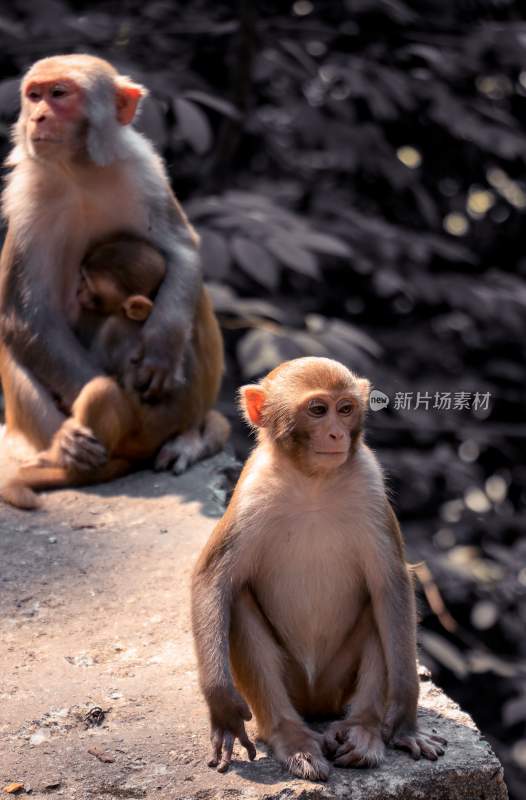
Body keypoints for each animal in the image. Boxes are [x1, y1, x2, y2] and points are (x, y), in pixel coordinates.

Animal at [0, 54, 205, 468]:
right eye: (34, 96)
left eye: (58, 94)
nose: (37, 118)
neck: (79, 171)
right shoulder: (25, 198)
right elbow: (26, 314)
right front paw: (112, 412)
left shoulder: (144, 171)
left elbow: (182, 250)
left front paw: (162, 346)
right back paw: (57, 447)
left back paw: (187, 435)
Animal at [192, 358, 448, 780]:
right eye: (317, 410)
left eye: (345, 409)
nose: (336, 433)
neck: (312, 482)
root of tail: (314, 704)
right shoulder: (251, 492)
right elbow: (213, 580)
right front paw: (222, 705)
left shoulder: (370, 483)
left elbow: (391, 585)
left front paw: (405, 721)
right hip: (295, 686)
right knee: (239, 600)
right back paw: (291, 737)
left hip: (335, 686)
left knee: (379, 607)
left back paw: (362, 731)